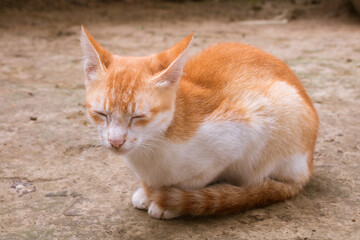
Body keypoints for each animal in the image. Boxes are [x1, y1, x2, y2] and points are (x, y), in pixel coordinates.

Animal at [79, 25, 318, 218]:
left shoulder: (242, 132)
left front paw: (169, 201)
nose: (115, 141)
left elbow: (196, 179)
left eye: (138, 117)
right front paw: (149, 192)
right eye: (102, 114)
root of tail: (306, 171)